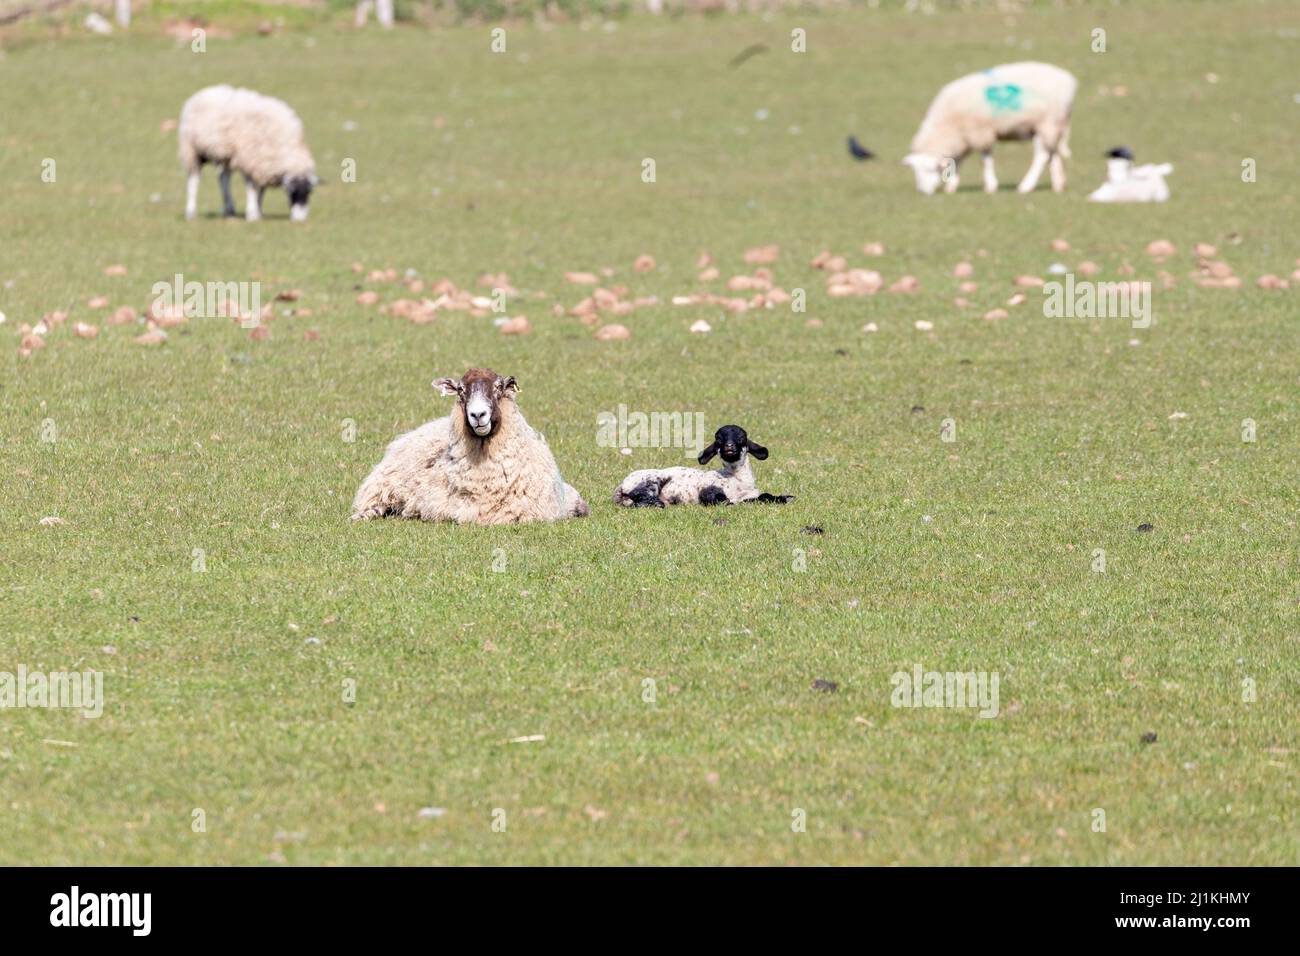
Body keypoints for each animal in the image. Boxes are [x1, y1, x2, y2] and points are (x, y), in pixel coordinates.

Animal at [178, 83, 317, 222]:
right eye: (292, 191)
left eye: (309, 192)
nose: (300, 219)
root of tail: (204, 91)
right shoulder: (249, 159)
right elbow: (251, 188)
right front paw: (252, 214)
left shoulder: (263, 163)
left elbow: (262, 188)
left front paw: (258, 210)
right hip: (192, 151)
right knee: (193, 180)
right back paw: (191, 212)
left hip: (227, 155)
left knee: (223, 177)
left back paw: (229, 209)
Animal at [616, 426, 795, 509]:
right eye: (718, 440)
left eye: (742, 438)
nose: (729, 447)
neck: (736, 480)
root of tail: (620, 487)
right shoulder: (708, 490)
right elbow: (721, 500)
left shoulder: (751, 495)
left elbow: (765, 496)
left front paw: (786, 497)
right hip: (649, 482)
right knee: (641, 499)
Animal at [904, 60, 1076, 196]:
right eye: (915, 171)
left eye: (929, 169)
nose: (922, 192)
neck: (947, 123)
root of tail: (1069, 80)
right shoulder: (965, 137)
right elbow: (959, 161)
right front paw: (952, 185)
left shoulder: (980, 131)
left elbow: (984, 159)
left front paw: (990, 186)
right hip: (1050, 126)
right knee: (1051, 153)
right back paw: (1058, 184)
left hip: (1048, 122)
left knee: (1042, 156)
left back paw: (1025, 186)